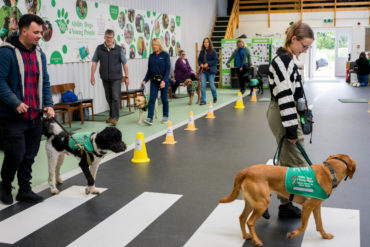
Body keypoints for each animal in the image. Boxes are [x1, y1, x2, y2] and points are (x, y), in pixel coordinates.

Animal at [220, 153, 356, 246]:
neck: (329, 171)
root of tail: (247, 170)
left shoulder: (316, 206)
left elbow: (319, 224)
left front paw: (325, 235)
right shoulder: (307, 206)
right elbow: (304, 226)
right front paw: (292, 234)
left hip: (251, 203)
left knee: (242, 218)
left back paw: (245, 235)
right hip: (262, 203)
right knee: (250, 222)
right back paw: (257, 240)